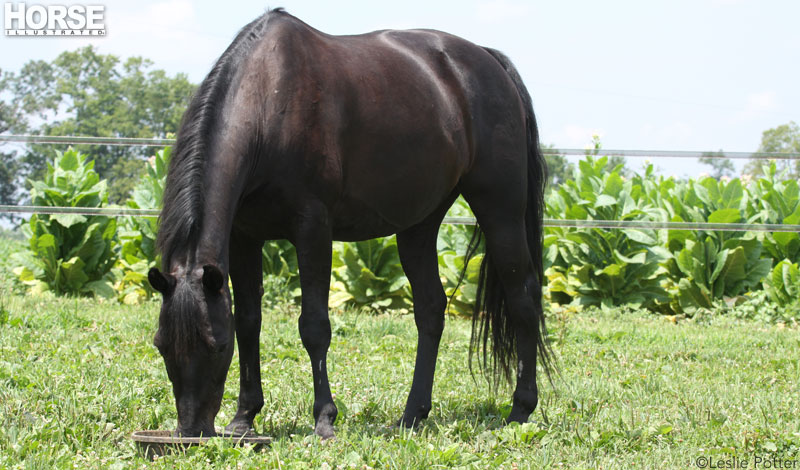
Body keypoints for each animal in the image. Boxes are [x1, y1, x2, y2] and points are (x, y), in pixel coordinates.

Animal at [147, 8, 552, 440]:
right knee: (430, 309)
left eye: (217, 346)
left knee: (523, 297)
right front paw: (244, 418)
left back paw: (520, 410)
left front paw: (324, 419)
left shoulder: (312, 228)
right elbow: (249, 321)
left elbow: (314, 326)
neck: (271, 100)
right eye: (161, 345)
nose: (192, 430)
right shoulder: (243, 237)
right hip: (418, 225)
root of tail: (489, 61)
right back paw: (412, 415)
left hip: (500, 209)